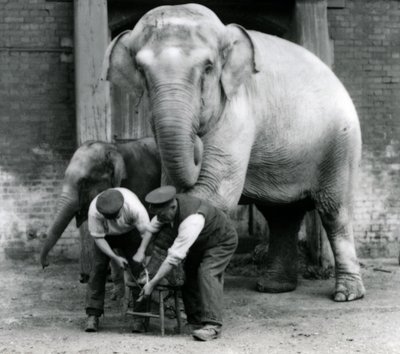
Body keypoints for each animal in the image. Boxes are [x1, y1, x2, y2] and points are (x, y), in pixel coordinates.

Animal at [104, 3, 366, 302]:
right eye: (141, 70)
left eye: (208, 67)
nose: (197, 144)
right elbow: (171, 185)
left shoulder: (237, 111)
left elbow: (212, 192)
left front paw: (159, 283)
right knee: (282, 215)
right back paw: (273, 286)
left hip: (340, 145)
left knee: (334, 211)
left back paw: (346, 294)